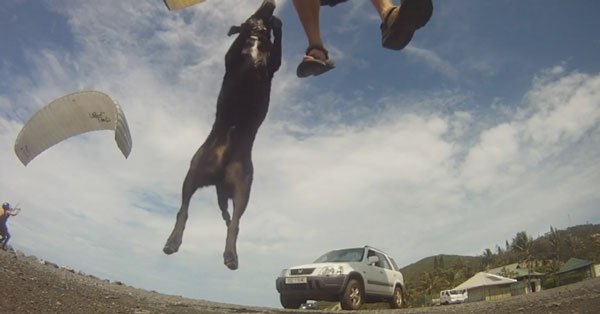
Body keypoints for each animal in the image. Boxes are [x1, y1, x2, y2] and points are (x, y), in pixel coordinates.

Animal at [163, 0, 282, 270]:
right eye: (255, 9)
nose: (269, 3)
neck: (257, 41)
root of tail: (218, 176)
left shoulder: (273, 65)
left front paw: (274, 24)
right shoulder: (231, 57)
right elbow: (237, 39)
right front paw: (247, 27)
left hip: (242, 188)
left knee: (234, 223)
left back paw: (231, 255)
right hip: (193, 173)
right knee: (183, 210)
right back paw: (173, 241)